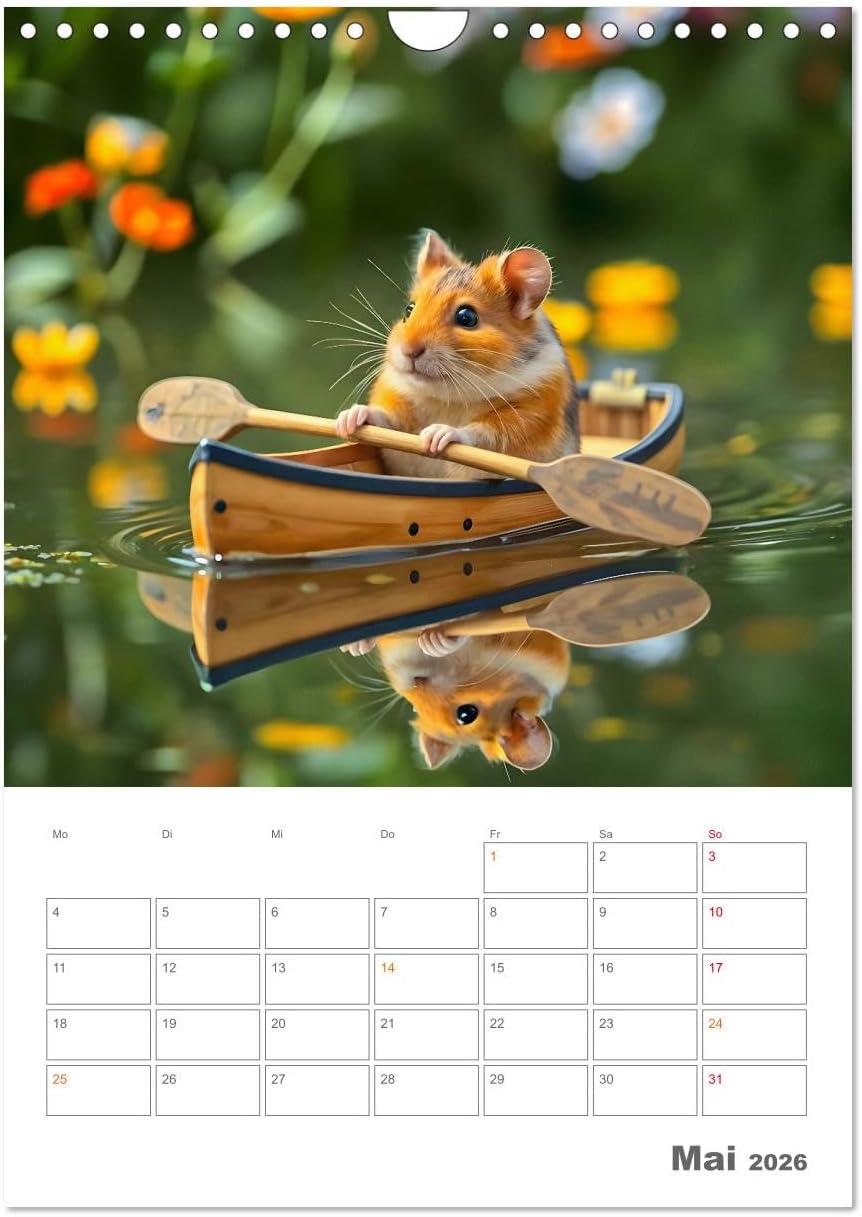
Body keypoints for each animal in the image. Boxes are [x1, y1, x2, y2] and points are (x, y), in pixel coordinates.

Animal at [335, 231, 580, 478]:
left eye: (466, 317)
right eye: (409, 309)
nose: (409, 351)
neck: (449, 398)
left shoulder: (532, 416)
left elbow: (484, 433)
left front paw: (436, 435)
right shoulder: (398, 401)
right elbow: (386, 420)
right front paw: (349, 418)